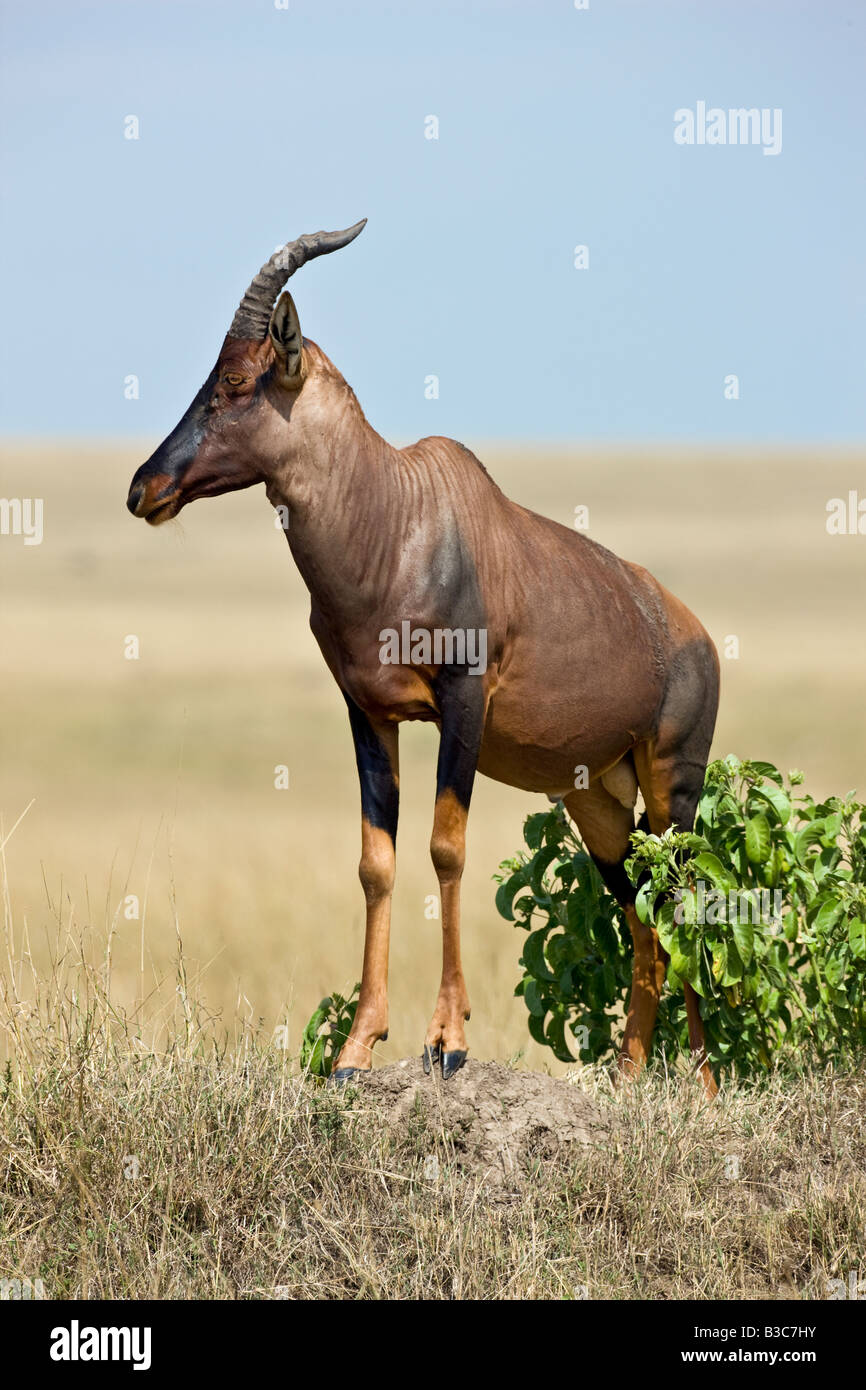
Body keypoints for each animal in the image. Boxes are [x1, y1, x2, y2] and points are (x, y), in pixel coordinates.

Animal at [128, 216, 722, 1089]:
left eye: (236, 380)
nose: (145, 488)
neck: (398, 517)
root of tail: (693, 631)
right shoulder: (369, 713)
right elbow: (377, 862)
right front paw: (354, 1050)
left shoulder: (463, 705)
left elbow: (447, 850)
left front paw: (448, 1040)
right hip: (598, 801)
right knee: (640, 906)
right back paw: (628, 1071)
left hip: (672, 780)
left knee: (680, 902)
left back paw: (705, 1084)